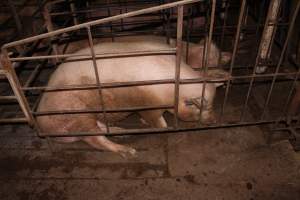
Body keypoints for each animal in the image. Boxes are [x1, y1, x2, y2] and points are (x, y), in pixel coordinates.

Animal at [37, 36, 230, 157]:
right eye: (205, 107)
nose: (213, 121)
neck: (170, 88)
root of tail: (42, 125)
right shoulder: (147, 103)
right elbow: (158, 122)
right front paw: (157, 126)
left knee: (101, 128)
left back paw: (120, 132)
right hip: (76, 115)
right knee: (95, 139)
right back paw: (128, 151)